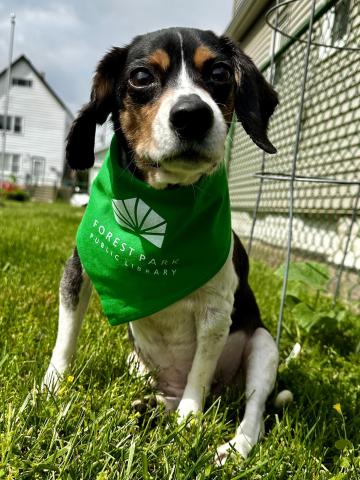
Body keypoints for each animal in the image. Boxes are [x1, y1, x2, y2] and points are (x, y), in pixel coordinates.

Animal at [41, 28, 278, 464]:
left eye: (220, 72)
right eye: (140, 76)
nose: (192, 114)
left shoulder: (216, 313)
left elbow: (198, 376)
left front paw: (189, 423)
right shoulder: (77, 271)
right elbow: (65, 341)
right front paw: (48, 391)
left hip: (264, 346)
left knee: (253, 409)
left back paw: (233, 445)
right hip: (138, 363)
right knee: (162, 393)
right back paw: (148, 405)